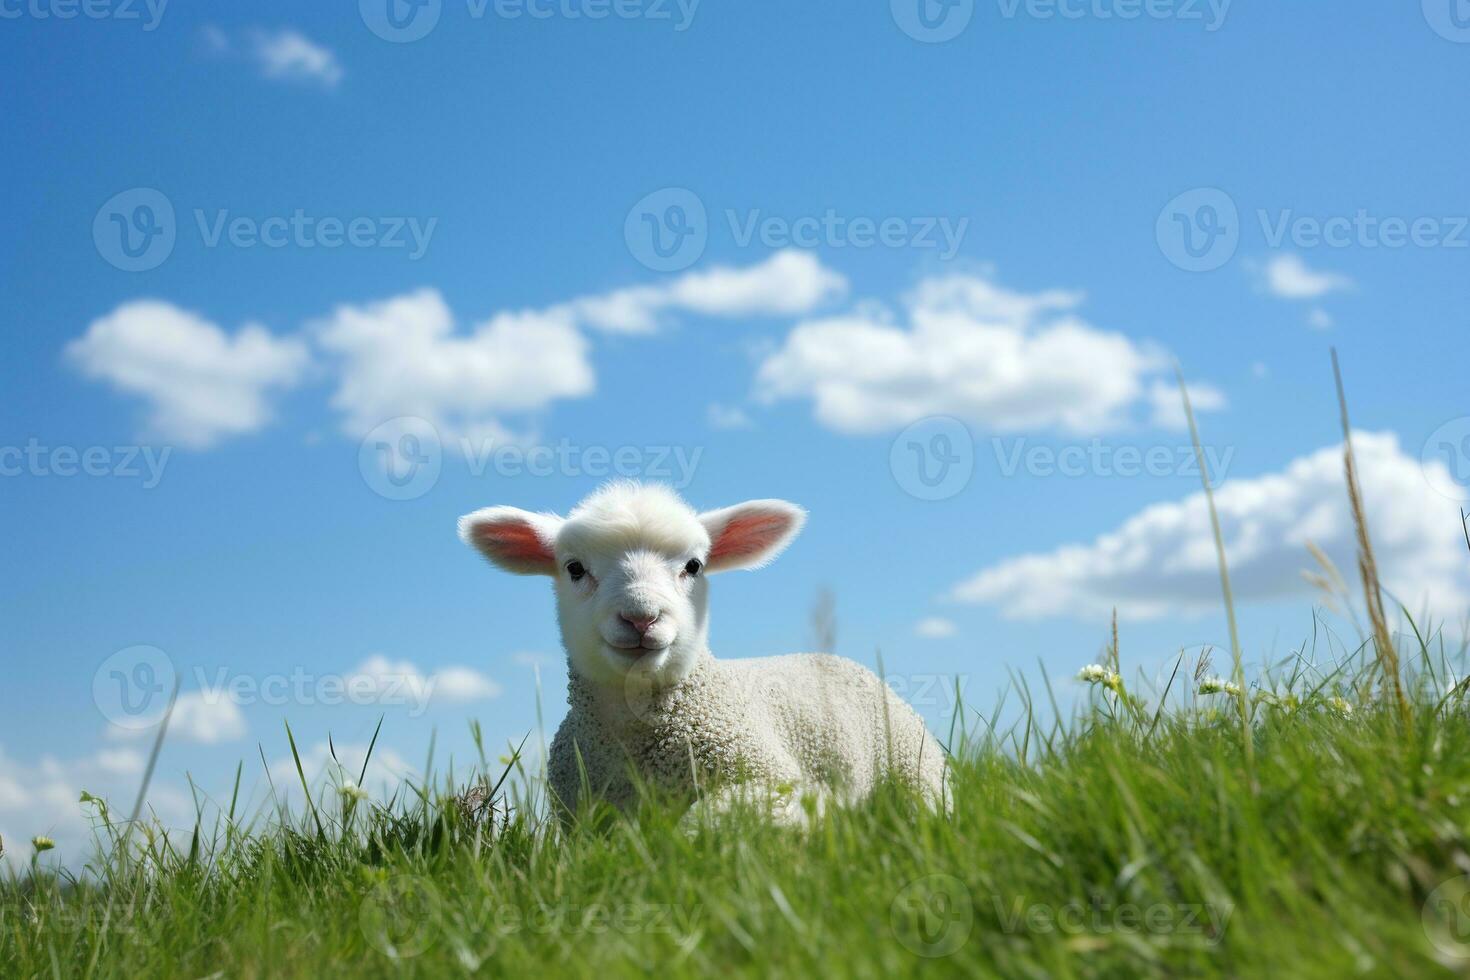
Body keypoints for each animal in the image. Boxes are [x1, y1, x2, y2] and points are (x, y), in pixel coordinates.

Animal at [452, 481, 946, 828]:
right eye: (574, 568)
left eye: (693, 566)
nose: (641, 617)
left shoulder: (777, 785)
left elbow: (700, 824)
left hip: (916, 772)